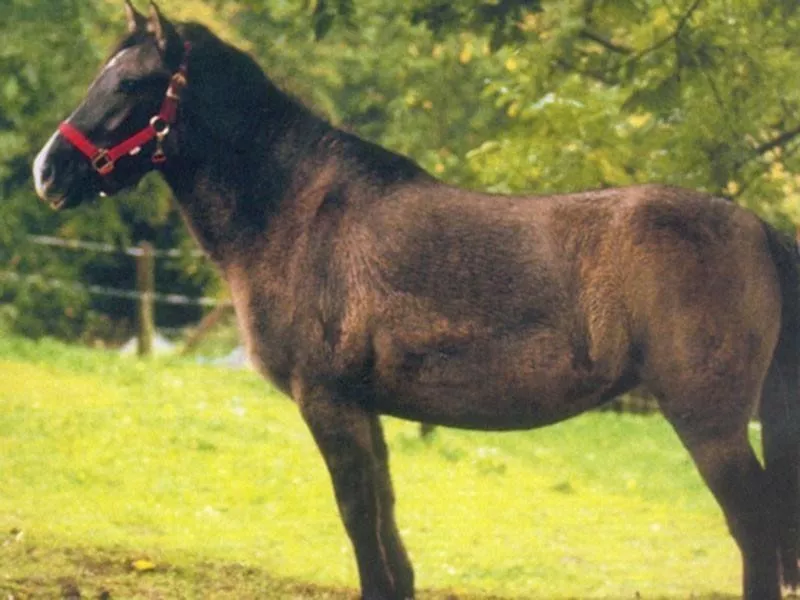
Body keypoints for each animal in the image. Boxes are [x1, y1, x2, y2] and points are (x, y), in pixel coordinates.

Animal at [31, 2, 800, 596]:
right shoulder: (365, 410)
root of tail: (755, 225)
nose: (48, 171)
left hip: (710, 426)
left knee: (756, 530)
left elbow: (360, 526)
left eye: (131, 83)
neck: (298, 211)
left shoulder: (328, 404)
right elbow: (389, 530)